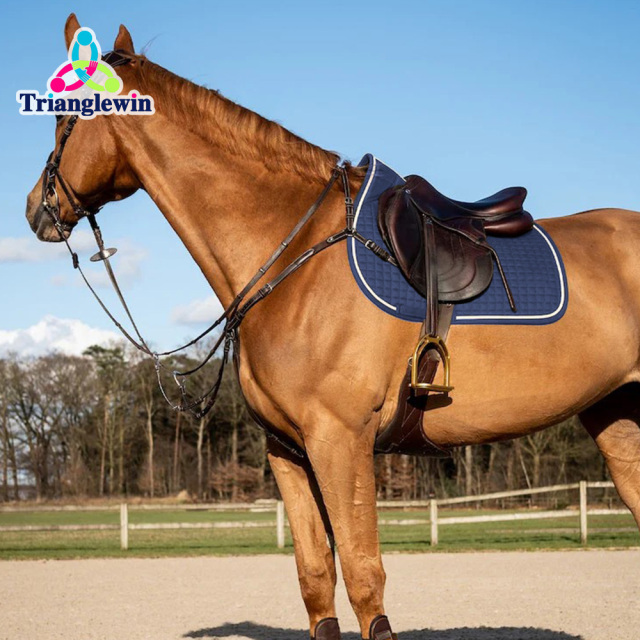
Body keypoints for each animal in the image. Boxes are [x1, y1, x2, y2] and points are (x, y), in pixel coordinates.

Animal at [25, 14, 640, 640]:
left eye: (63, 117)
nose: (36, 209)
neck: (293, 255)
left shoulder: (340, 442)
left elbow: (365, 579)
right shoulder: (288, 451)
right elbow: (316, 576)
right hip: (619, 422)